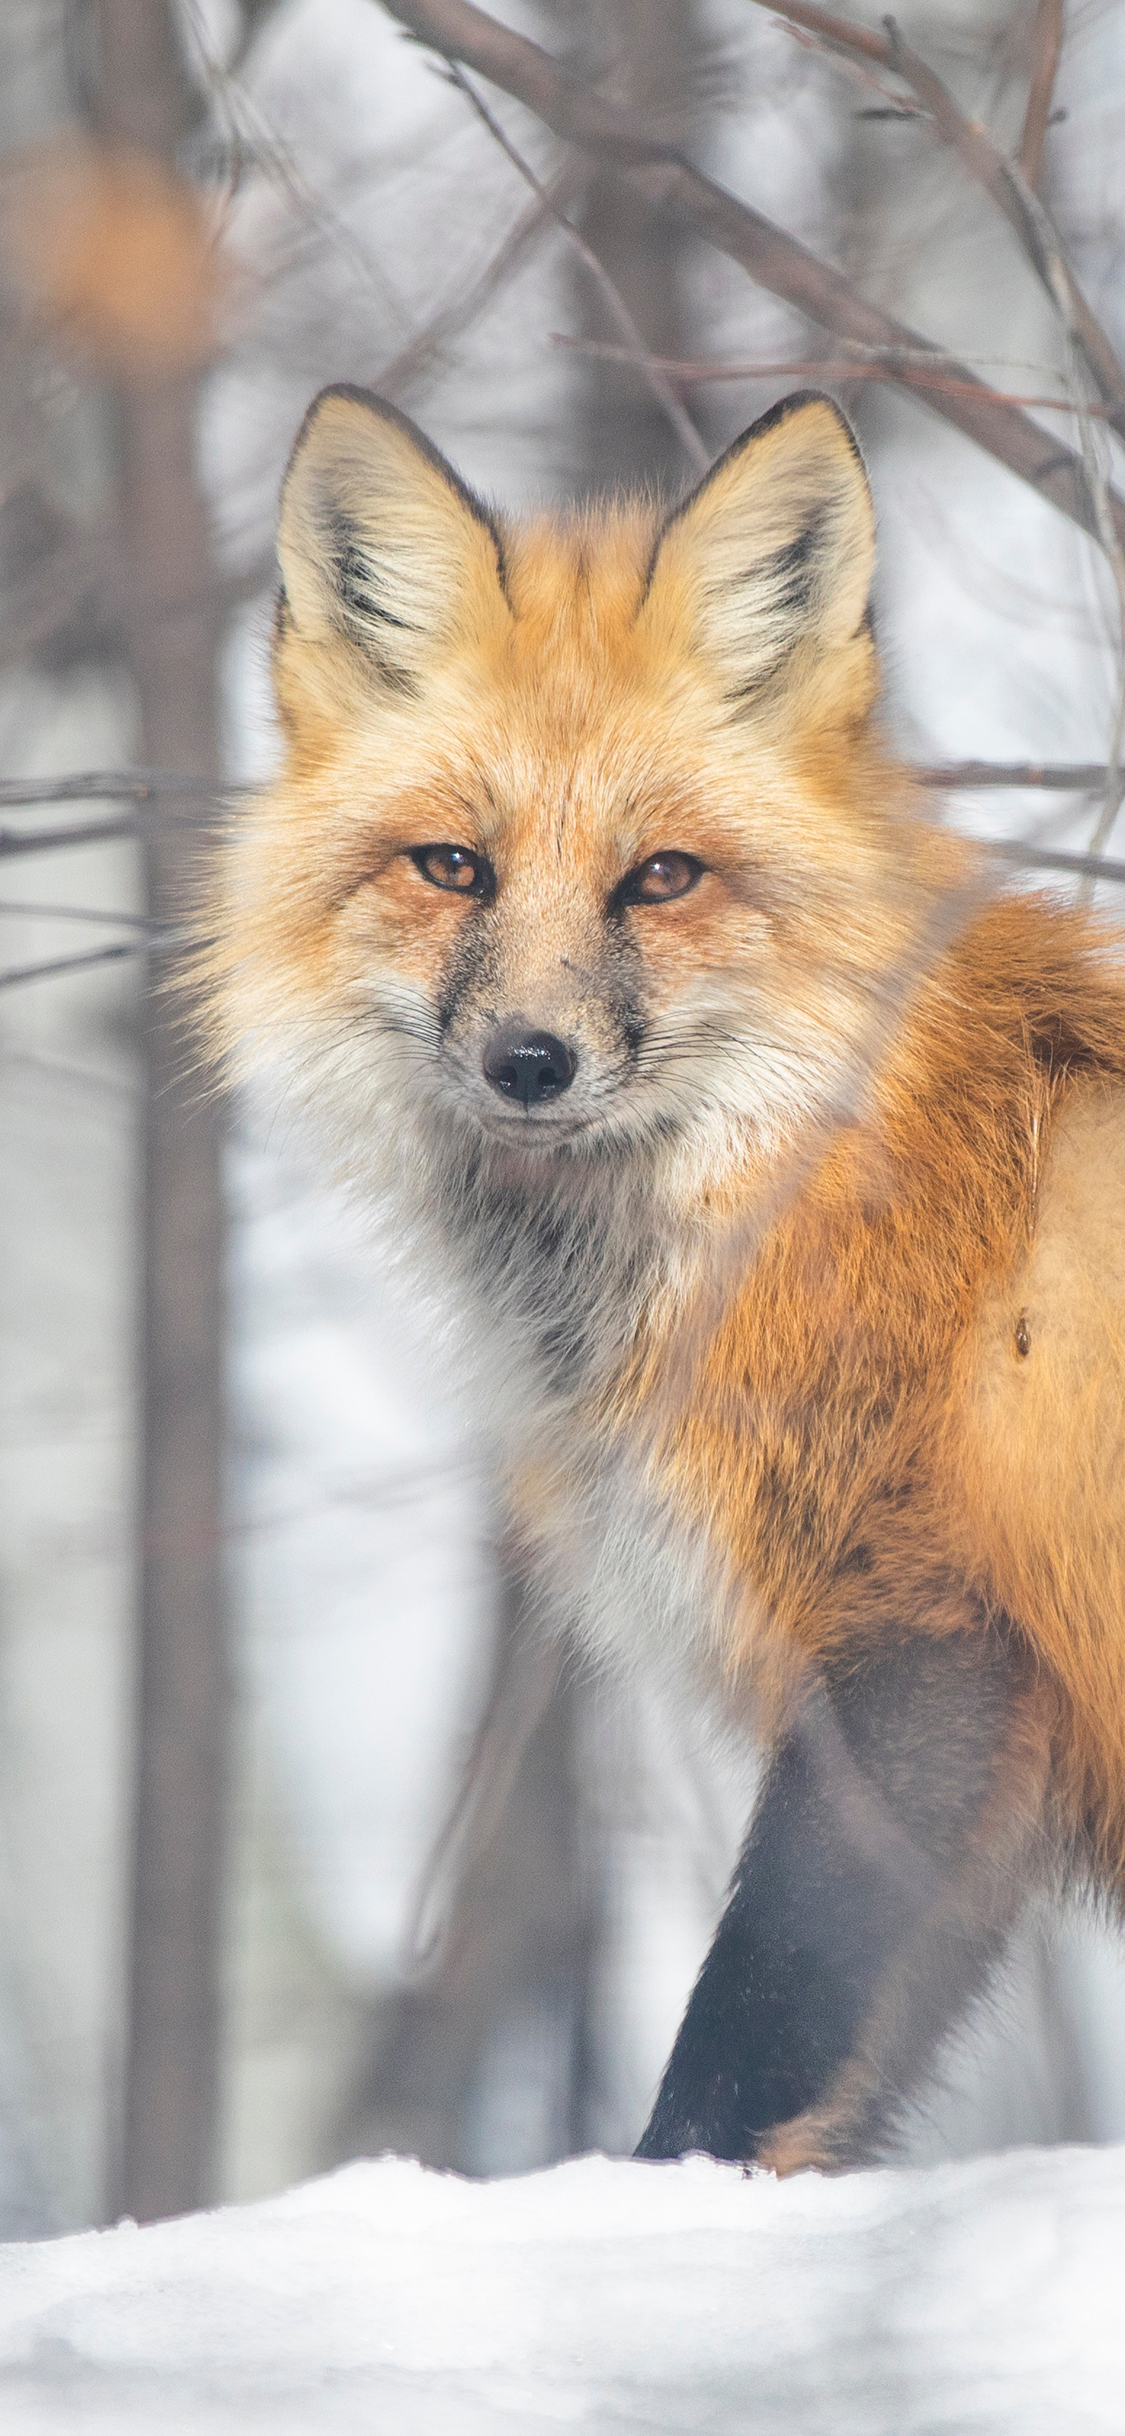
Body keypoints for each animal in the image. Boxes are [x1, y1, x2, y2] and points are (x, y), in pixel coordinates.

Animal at [210, 389, 1125, 2182]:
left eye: (662, 878)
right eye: (452, 867)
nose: (531, 1060)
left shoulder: (925, 1635)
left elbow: (747, 2044)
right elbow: (829, 2093)